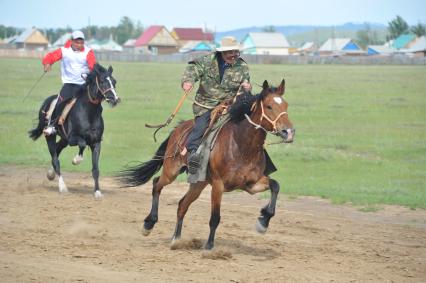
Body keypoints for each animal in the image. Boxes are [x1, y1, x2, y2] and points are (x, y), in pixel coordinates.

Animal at [28, 63, 120, 199]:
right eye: (103, 81)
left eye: (114, 82)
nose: (115, 99)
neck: (89, 112)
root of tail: (47, 102)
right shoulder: (72, 138)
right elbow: (82, 144)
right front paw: (76, 160)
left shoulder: (96, 143)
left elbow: (95, 169)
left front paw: (97, 192)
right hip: (51, 136)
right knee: (55, 159)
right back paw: (62, 187)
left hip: (64, 140)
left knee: (57, 150)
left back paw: (50, 174)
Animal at [120, 79, 292, 250]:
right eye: (269, 106)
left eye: (286, 105)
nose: (288, 132)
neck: (241, 145)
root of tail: (179, 128)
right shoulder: (218, 184)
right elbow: (215, 217)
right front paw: (209, 247)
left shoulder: (250, 185)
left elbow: (275, 186)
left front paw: (263, 221)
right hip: (171, 171)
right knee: (157, 184)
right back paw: (148, 224)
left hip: (198, 183)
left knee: (182, 205)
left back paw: (176, 239)